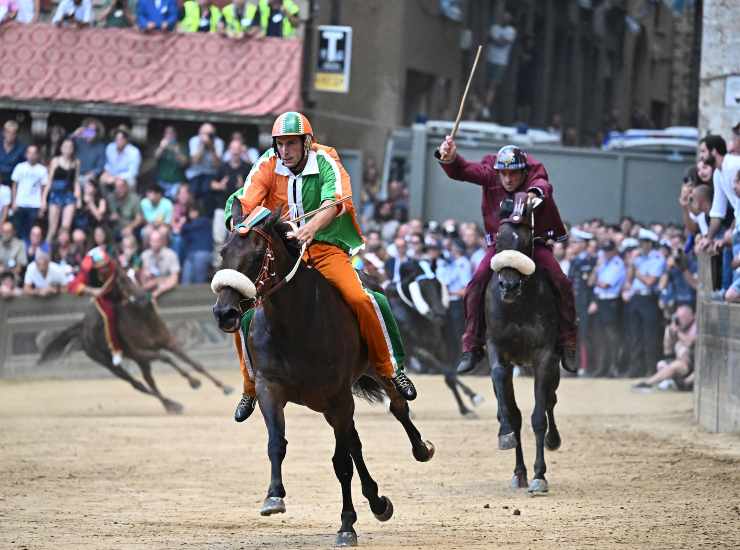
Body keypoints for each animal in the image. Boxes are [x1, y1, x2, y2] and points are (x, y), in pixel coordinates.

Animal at [40, 264, 231, 414]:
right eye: (122, 282)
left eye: (136, 277)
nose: (142, 298)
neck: (144, 320)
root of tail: (82, 329)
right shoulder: (140, 352)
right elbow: (166, 358)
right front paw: (194, 382)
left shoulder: (168, 342)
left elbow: (194, 363)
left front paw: (225, 387)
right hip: (111, 364)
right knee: (138, 384)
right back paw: (173, 404)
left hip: (139, 362)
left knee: (149, 381)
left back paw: (171, 406)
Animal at [211, 206, 436, 548]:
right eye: (223, 252)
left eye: (258, 253)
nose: (224, 312)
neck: (295, 325)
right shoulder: (270, 388)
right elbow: (276, 442)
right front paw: (274, 496)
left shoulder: (338, 397)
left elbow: (341, 464)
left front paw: (346, 526)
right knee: (355, 442)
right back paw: (377, 501)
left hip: (370, 374)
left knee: (397, 406)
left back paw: (420, 447)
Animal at [388, 262, 486, 418]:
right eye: (422, 286)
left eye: (438, 284)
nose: (440, 314)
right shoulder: (413, 348)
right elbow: (443, 369)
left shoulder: (438, 345)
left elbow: (450, 375)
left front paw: (466, 407)